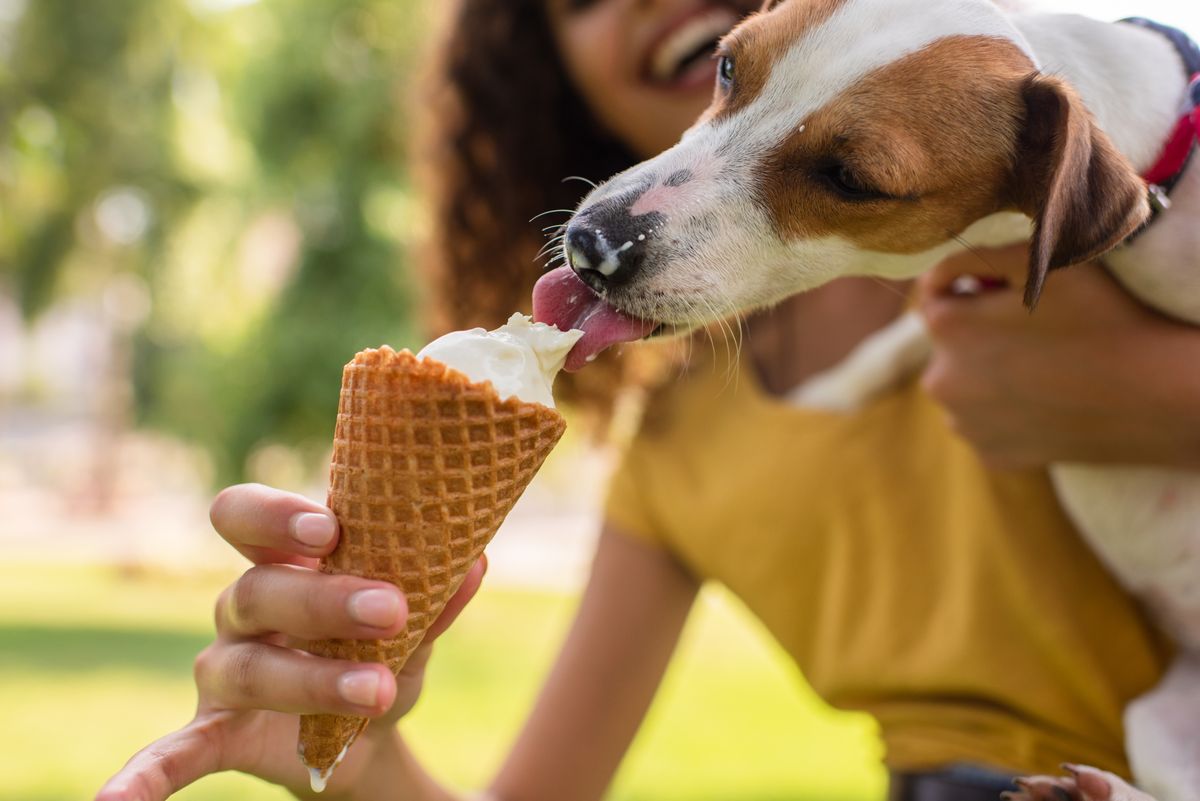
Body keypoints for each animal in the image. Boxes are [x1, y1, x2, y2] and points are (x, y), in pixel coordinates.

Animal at [535, 1, 1200, 801]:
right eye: (727, 67)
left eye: (850, 179)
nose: (590, 244)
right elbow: (896, 344)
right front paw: (836, 393)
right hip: (1157, 720)